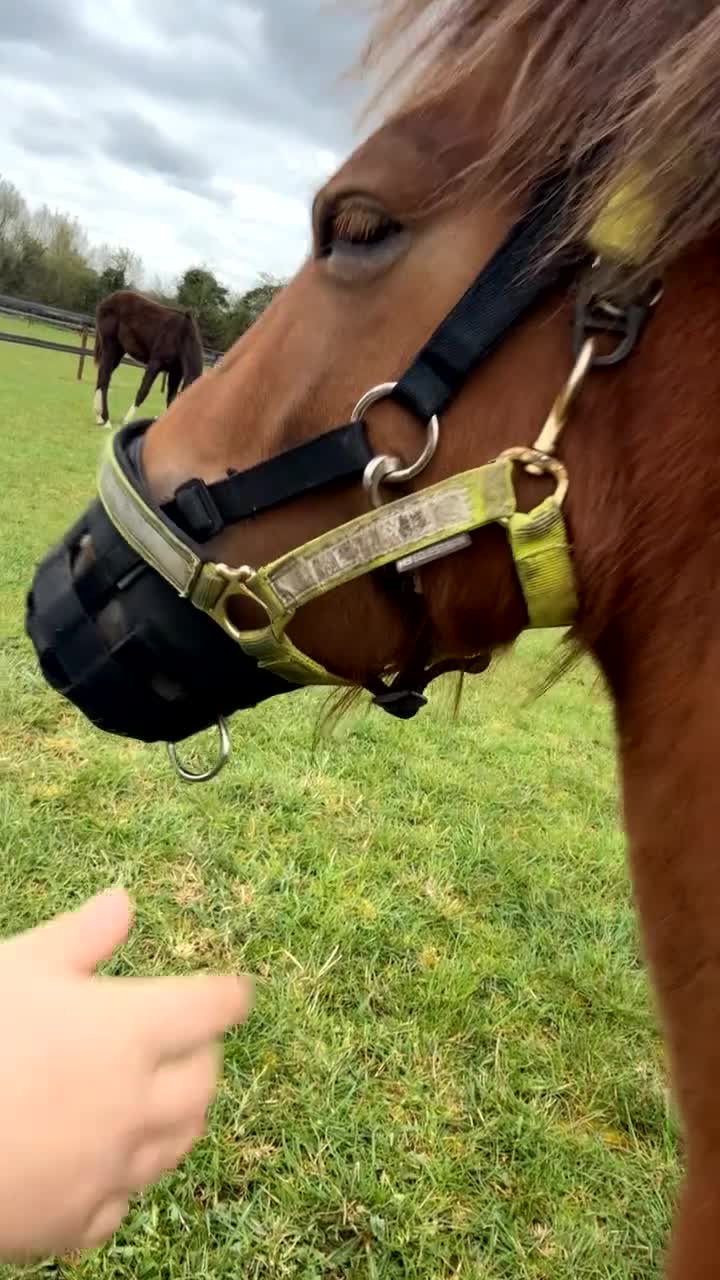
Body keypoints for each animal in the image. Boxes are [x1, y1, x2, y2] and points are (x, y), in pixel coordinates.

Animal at [93, 289, 204, 428]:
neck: (182, 336)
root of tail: (106, 301)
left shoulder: (176, 373)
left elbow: (171, 398)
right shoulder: (155, 363)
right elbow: (143, 390)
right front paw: (126, 420)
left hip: (119, 351)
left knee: (101, 376)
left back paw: (99, 417)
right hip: (110, 346)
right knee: (105, 378)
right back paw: (106, 420)